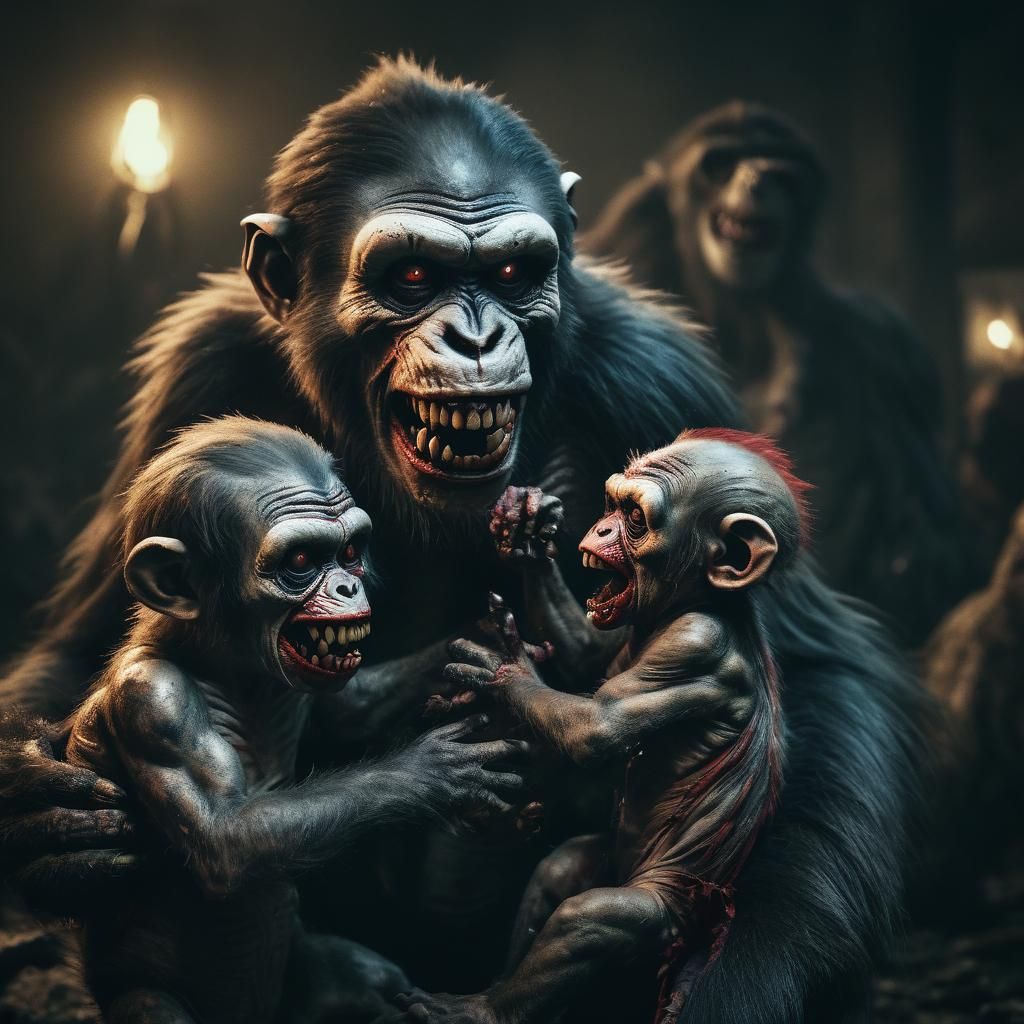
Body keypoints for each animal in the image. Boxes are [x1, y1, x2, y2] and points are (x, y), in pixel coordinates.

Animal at [63, 417, 528, 1024]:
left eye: (350, 550)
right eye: (302, 563)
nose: (349, 585)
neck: (224, 666)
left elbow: (350, 709)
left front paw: (485, 641)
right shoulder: (154, 704)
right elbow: (224, 837)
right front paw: (433, 771)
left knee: (372, 982)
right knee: (151, 1002)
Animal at [394, 428, 803, 1024]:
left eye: (635, 517)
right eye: (613, 504)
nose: (605, 527)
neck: (697, 602)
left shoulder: (693, 646)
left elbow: (598, 727)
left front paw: (506, 670)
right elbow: (588, 654)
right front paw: (526, 533)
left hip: (667, 923)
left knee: (592, 920)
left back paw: (480, 1009)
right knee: (561, 871)